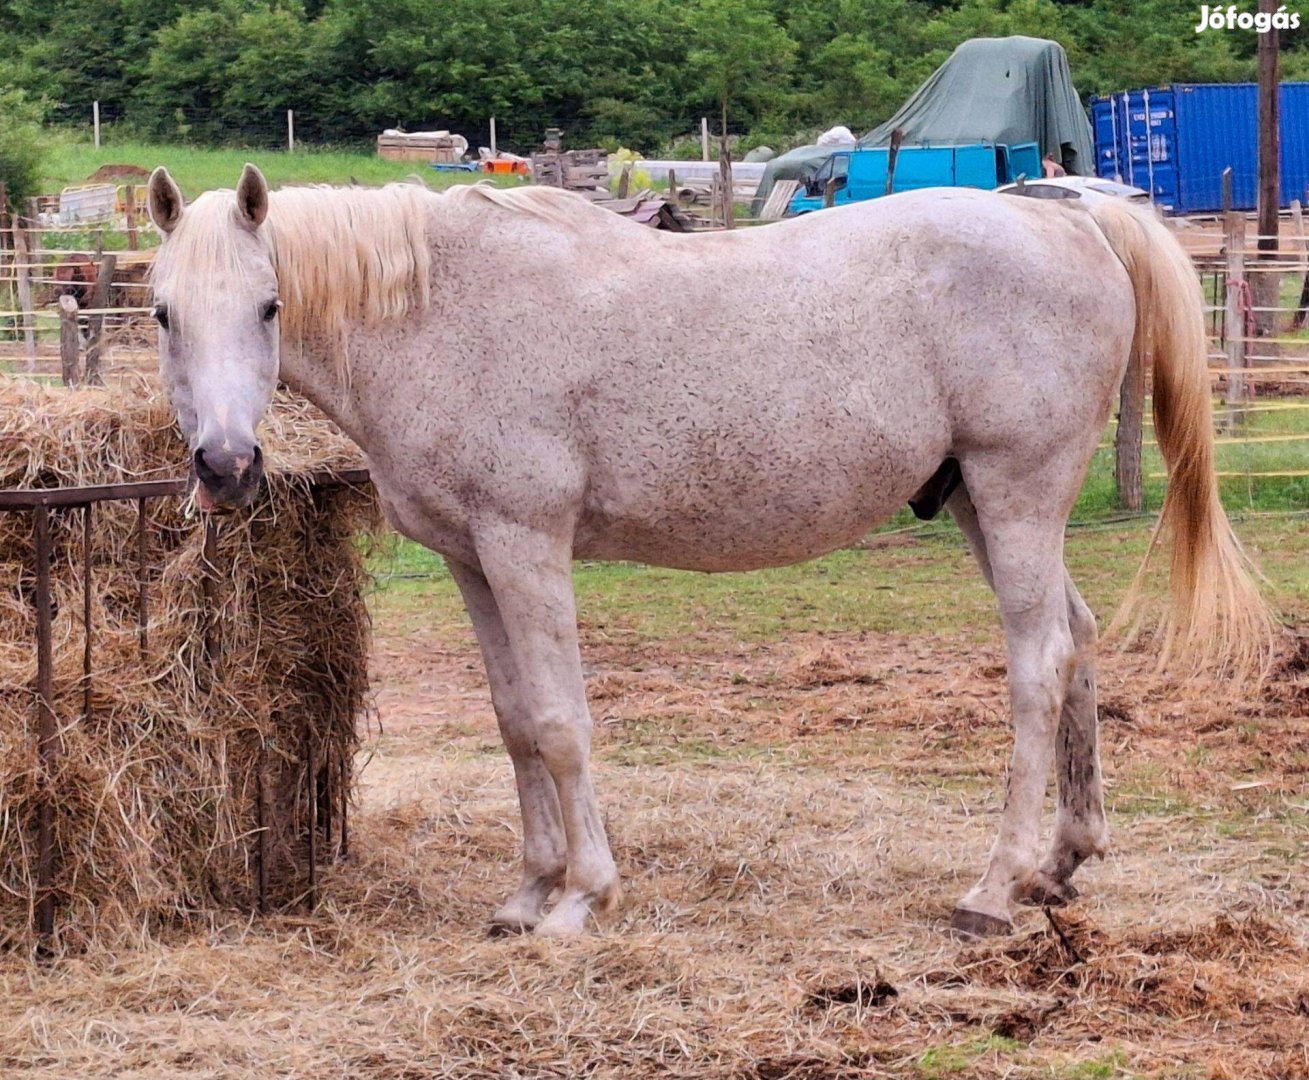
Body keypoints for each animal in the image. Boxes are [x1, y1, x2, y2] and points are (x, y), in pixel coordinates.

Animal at [148, 166, 1272, 937]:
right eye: (161, 313)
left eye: (269, 306)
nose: (225, 464)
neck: (439, 315)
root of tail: (1065, 214)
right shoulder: (473, 562)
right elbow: (514, 724)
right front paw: (527, 892)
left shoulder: (526, 547)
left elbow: (559, 724)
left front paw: (580, 900)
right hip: (982, 507)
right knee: (1076, 642)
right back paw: (1059, 866)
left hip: (1016, 493)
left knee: (1039, 665)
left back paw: (991, 892)